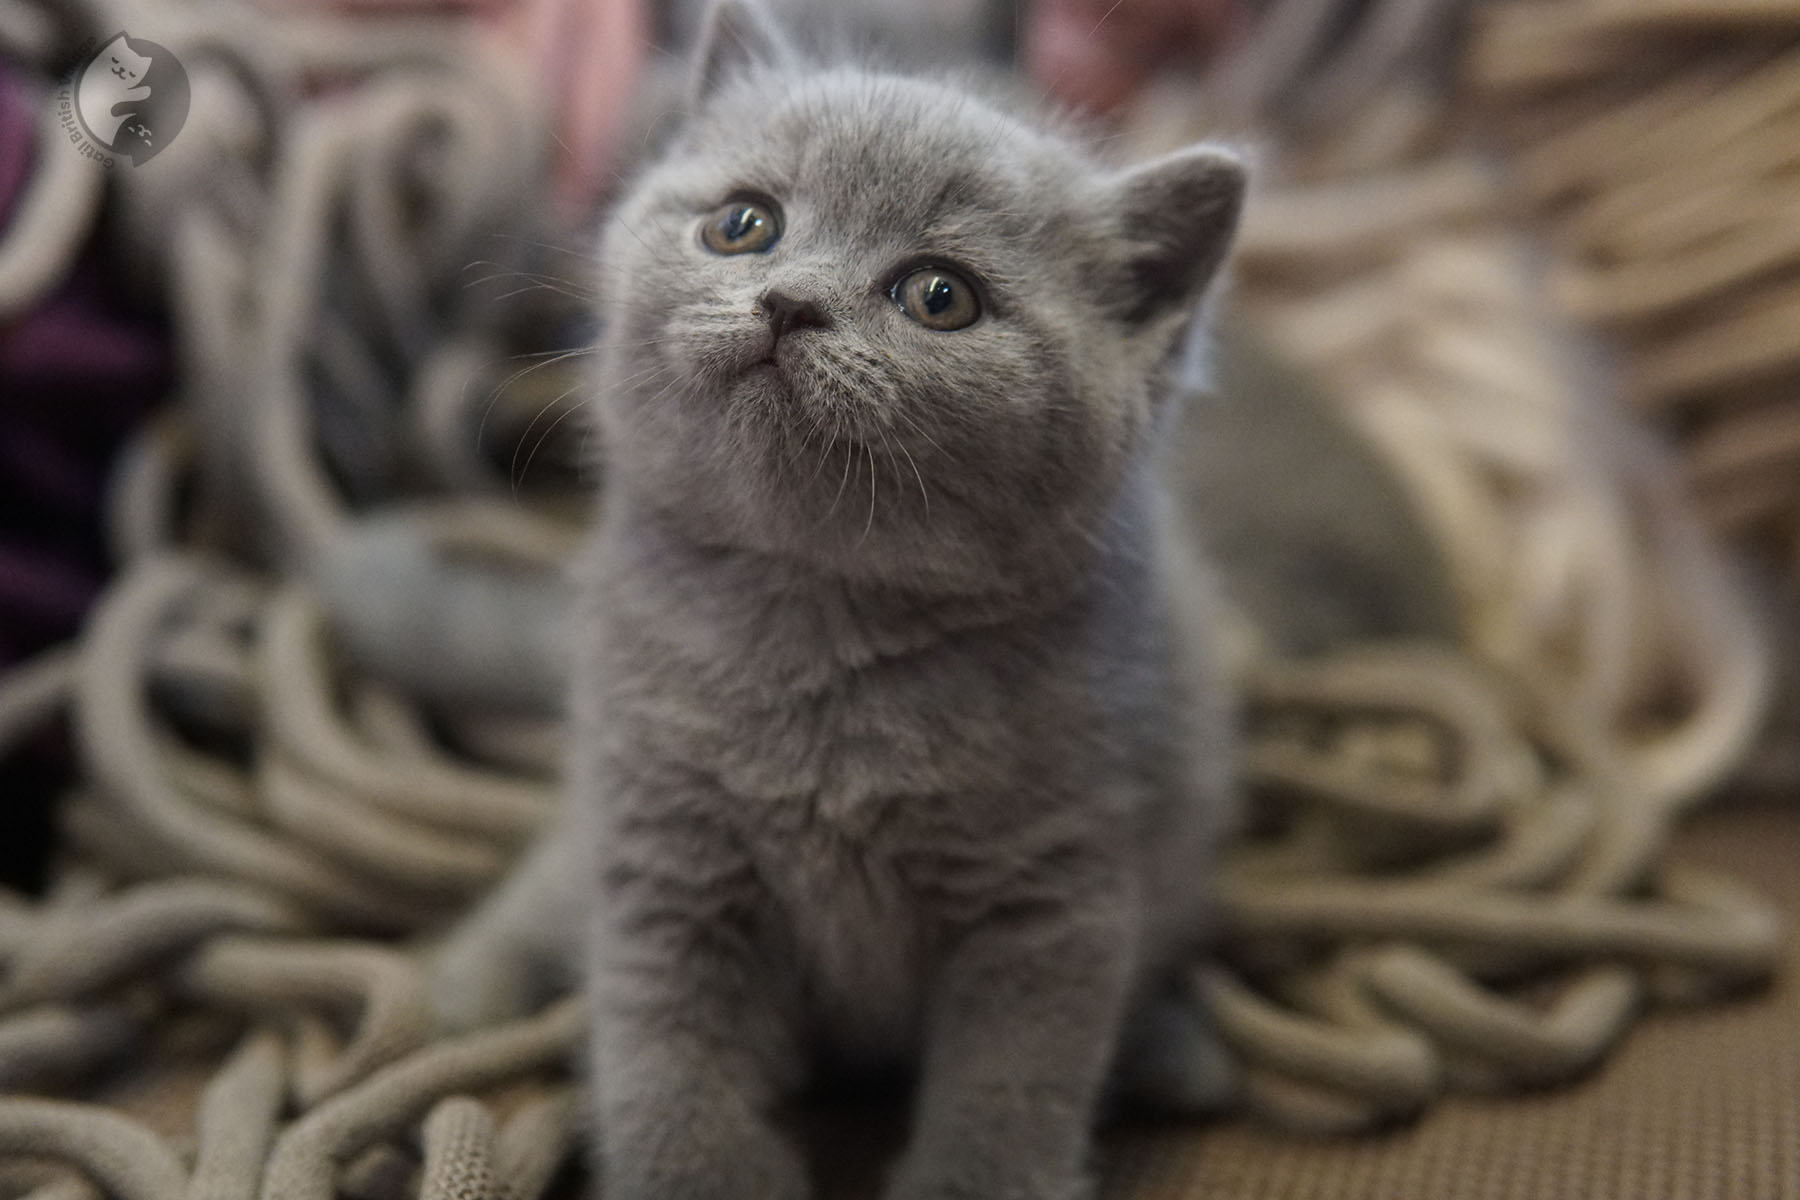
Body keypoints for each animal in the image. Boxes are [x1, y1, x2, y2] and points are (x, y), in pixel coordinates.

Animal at [437, 4, 1252, 1194]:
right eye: (743, 224)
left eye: (940, 295)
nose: (789, 303)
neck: (819, 630)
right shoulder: (665, 857)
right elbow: (663, 1057)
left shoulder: (1055, 894)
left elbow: (1016, 1089)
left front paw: (978, 1176)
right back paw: (443, 997)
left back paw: (1174, 1050)